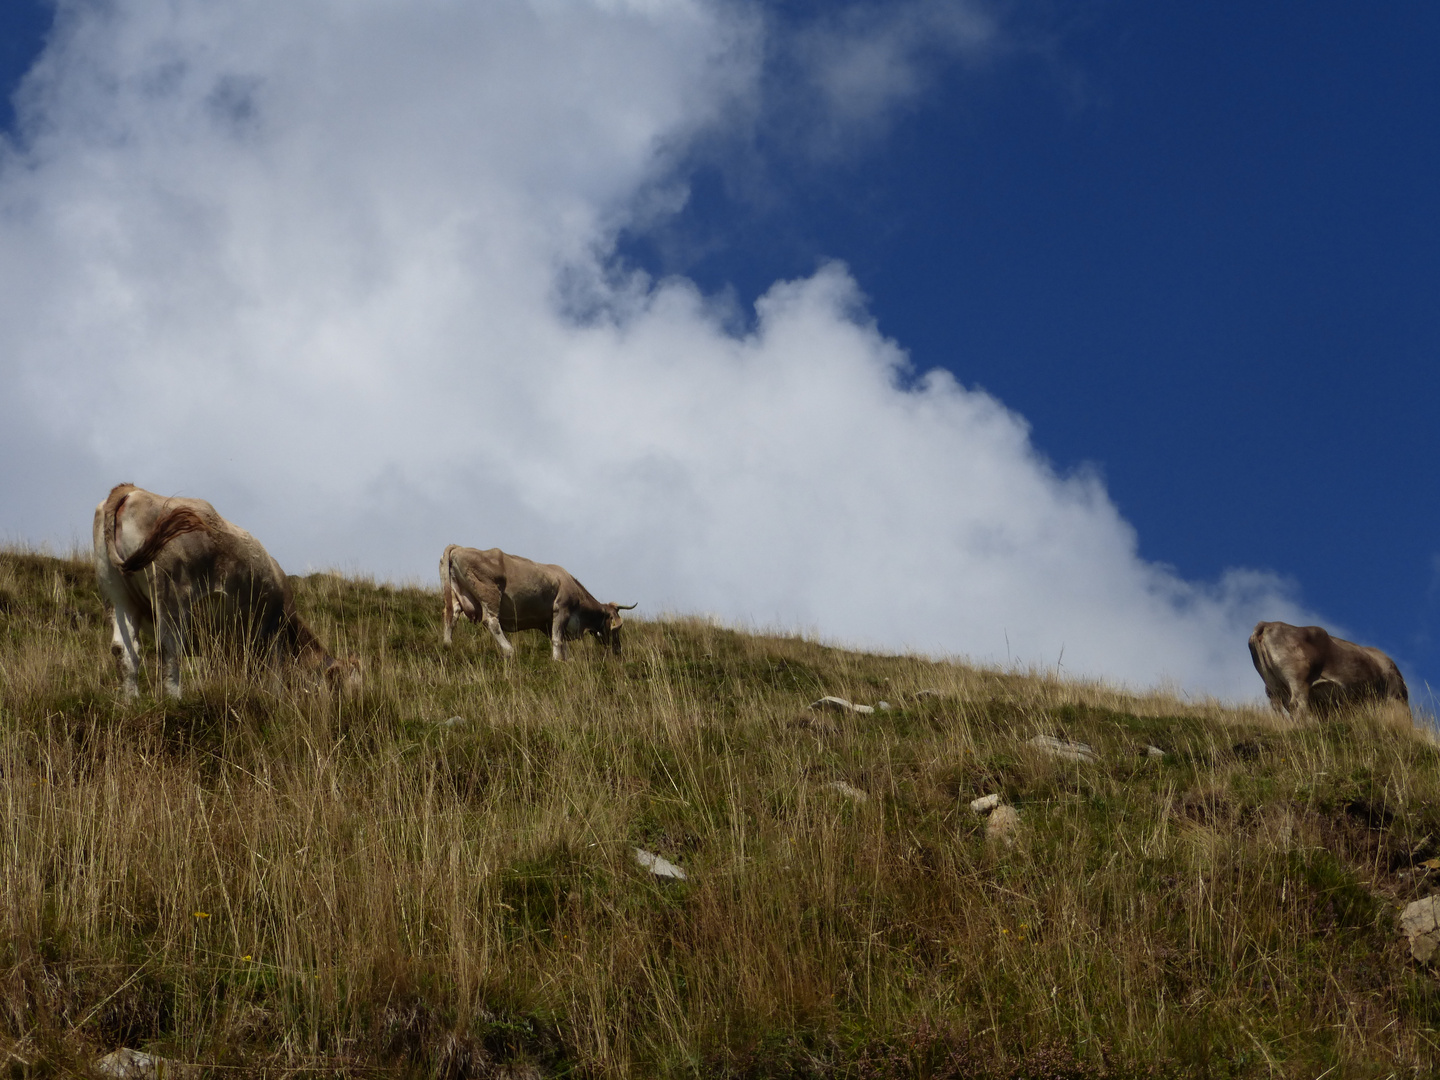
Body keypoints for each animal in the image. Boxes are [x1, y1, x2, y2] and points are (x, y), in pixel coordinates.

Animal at [92, 483, 360, 702]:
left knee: (124, 650)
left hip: (116, 594)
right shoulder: (273, 635)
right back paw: (174, 699)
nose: (352, 705)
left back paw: (130, 702)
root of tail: (132, 490)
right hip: (171, 594)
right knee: (169, 648)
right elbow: (274, 679)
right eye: (340, 686)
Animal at [434, 541, 633, 659]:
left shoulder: (547, 621)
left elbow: (560, 642)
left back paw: (447, 644)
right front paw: (556, 661)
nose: (618, 649)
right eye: (615, 628)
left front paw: (565, 660)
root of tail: (459, 547)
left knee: (451, 615)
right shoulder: (561, 610)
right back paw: (509, 650)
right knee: (491, 621)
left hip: (457, 594)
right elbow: (557, 640)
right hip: (489, 593)